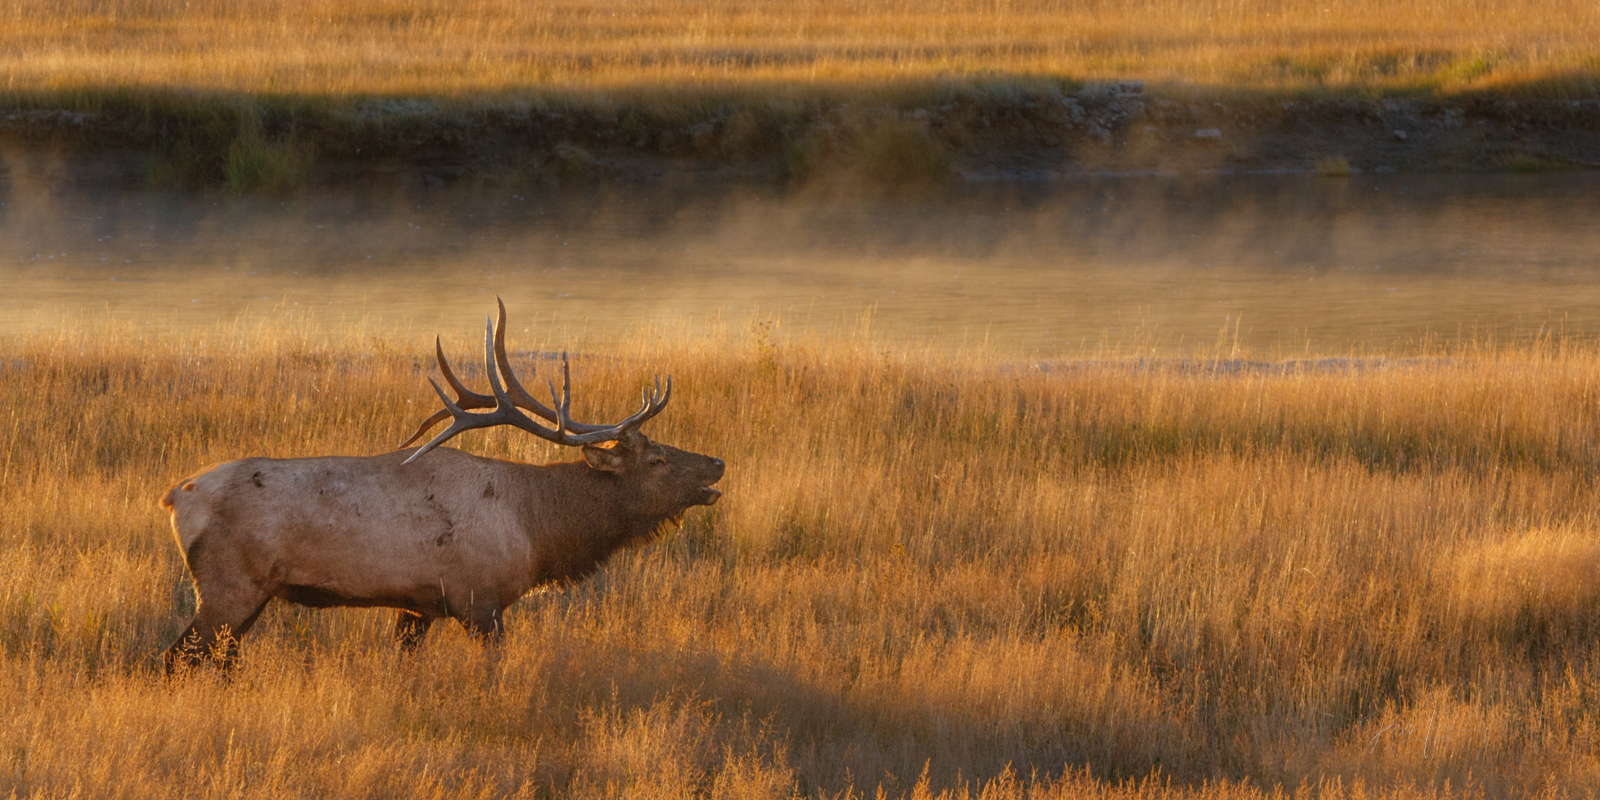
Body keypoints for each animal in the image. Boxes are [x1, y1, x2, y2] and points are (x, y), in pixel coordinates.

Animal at [159, 300, 723, 668]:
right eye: (657, 459)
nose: (717, 464)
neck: (538, 530)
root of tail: (173, 497)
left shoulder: (417, 607)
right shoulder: (480, 601)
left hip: (248, 598)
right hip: (229, 587)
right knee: (173, 659)